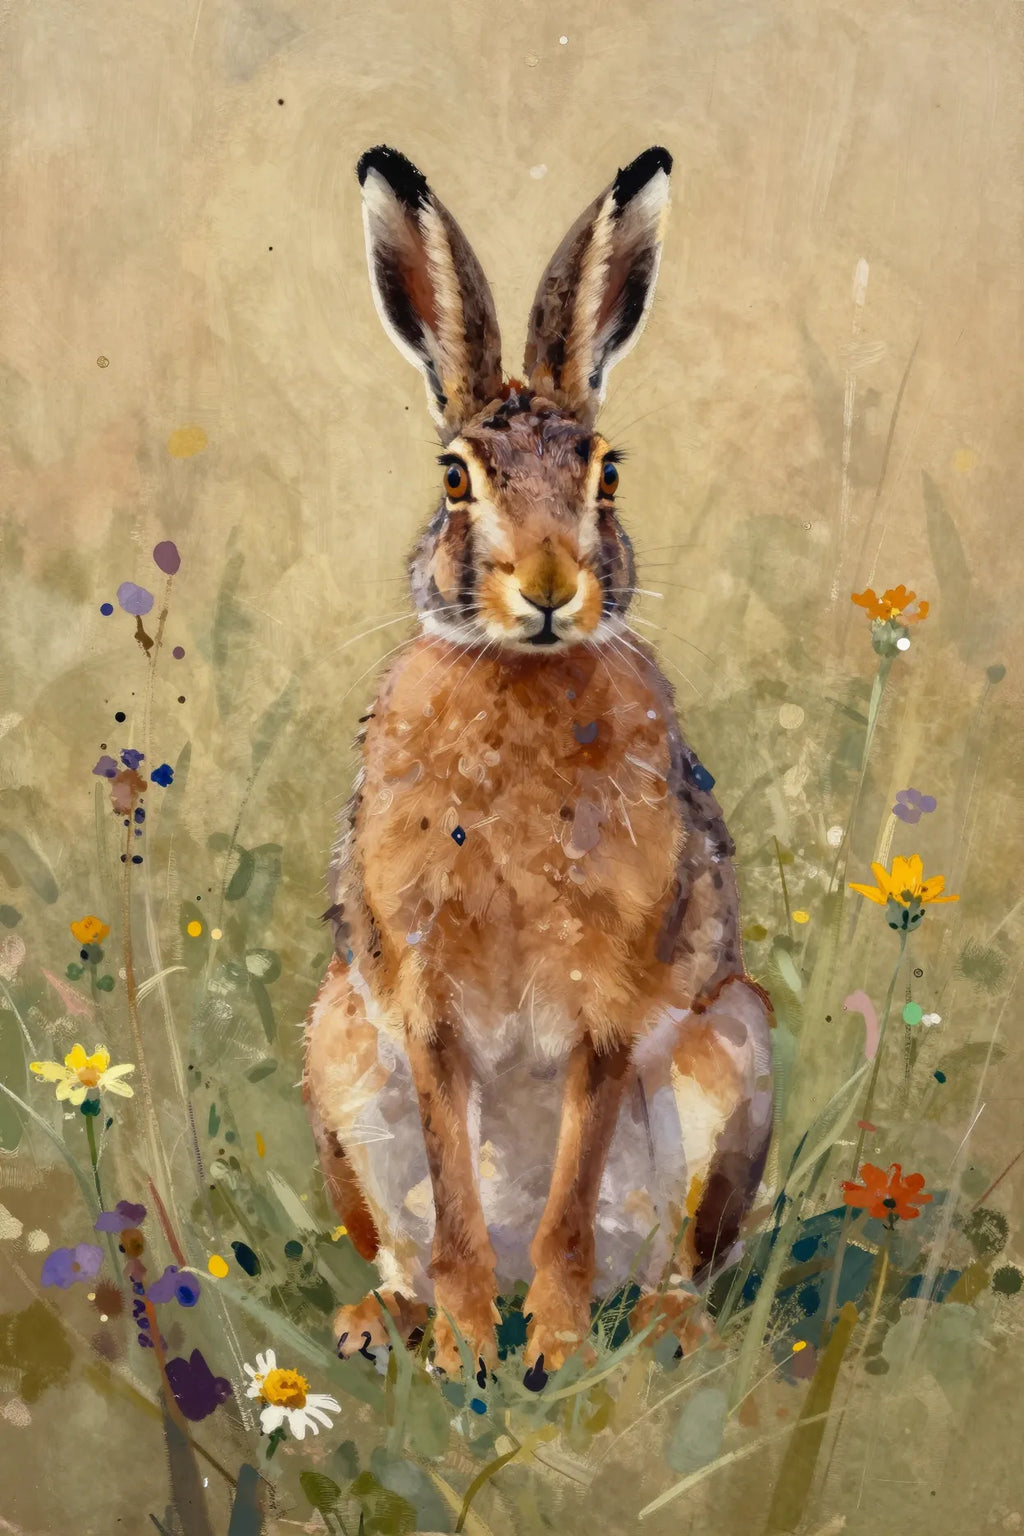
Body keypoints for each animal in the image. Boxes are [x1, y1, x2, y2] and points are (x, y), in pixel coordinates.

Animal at [303, 143, 774, 1381]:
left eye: (605, 472)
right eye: (453, 478)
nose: (552, 585)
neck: (517, 676)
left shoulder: (609, 995)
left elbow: (569, 1190)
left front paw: (549, 1353)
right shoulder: (420, 1000)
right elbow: (455, 1194)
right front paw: (470, 1349)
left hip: (732, 1055)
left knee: (671, 1255)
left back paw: (649, 1325)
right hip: (339, 1053)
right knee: (404, 1245)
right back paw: (390, 1321)